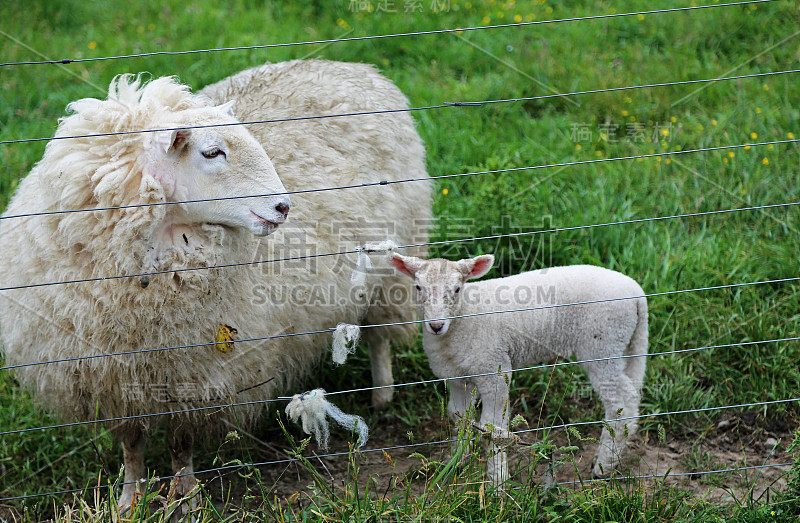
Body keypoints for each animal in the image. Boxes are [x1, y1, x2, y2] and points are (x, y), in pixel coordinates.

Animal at [1, 59, 432, 510]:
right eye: (212, 152)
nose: (284, 207)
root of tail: (356, 67)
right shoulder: (114, 379)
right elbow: (132, 446)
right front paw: (130, 501)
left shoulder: (197, 375)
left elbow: (180, 443)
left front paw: (187, 500)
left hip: (387, 272)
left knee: (379, 336)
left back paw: (382, 395)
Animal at [390, 254, 648, 484]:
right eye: (418, 287)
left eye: (456, 289)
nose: (436, 325)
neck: (463, 319)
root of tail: (637, 293)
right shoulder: (457, 377)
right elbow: (459, 417)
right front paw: (457, 463)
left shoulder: (494, 369)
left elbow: (492, 427)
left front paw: (497, 483)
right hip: (624, 344)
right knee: (632, 393)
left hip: (602, 344)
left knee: (620, 403)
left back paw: (604, 466)